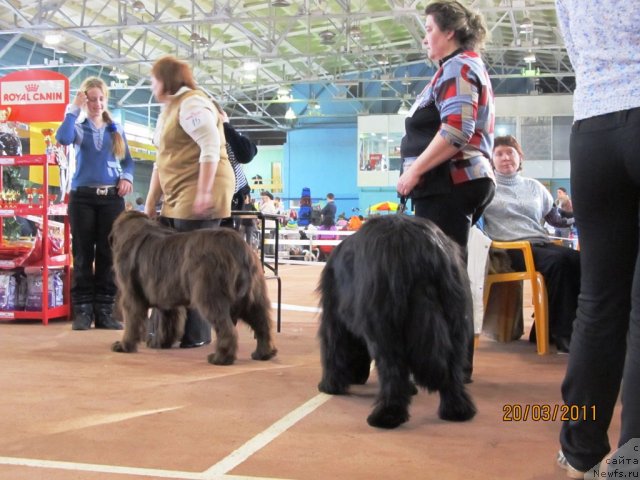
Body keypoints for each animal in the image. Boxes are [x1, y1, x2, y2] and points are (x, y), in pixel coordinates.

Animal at [108, 212, 278, 366]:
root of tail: (239, 248)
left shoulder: (131, 295)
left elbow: (132, 322)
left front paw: (124, 346)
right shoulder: (168, 300)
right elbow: (168, 323)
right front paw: (160, 343)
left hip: (210, 297)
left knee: (227, 329)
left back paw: (220, 359)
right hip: (253, 299)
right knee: (263, 325)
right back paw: (263, 353)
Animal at [318, 214, 476, 428]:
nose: (357, 378)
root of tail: (424, 249)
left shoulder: (333, 317)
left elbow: (332, 351)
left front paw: (330, 385)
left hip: (385, 326)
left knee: (392, 370)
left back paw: (387, 415)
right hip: (455, 317)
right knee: (453, 371)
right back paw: (457, 410)